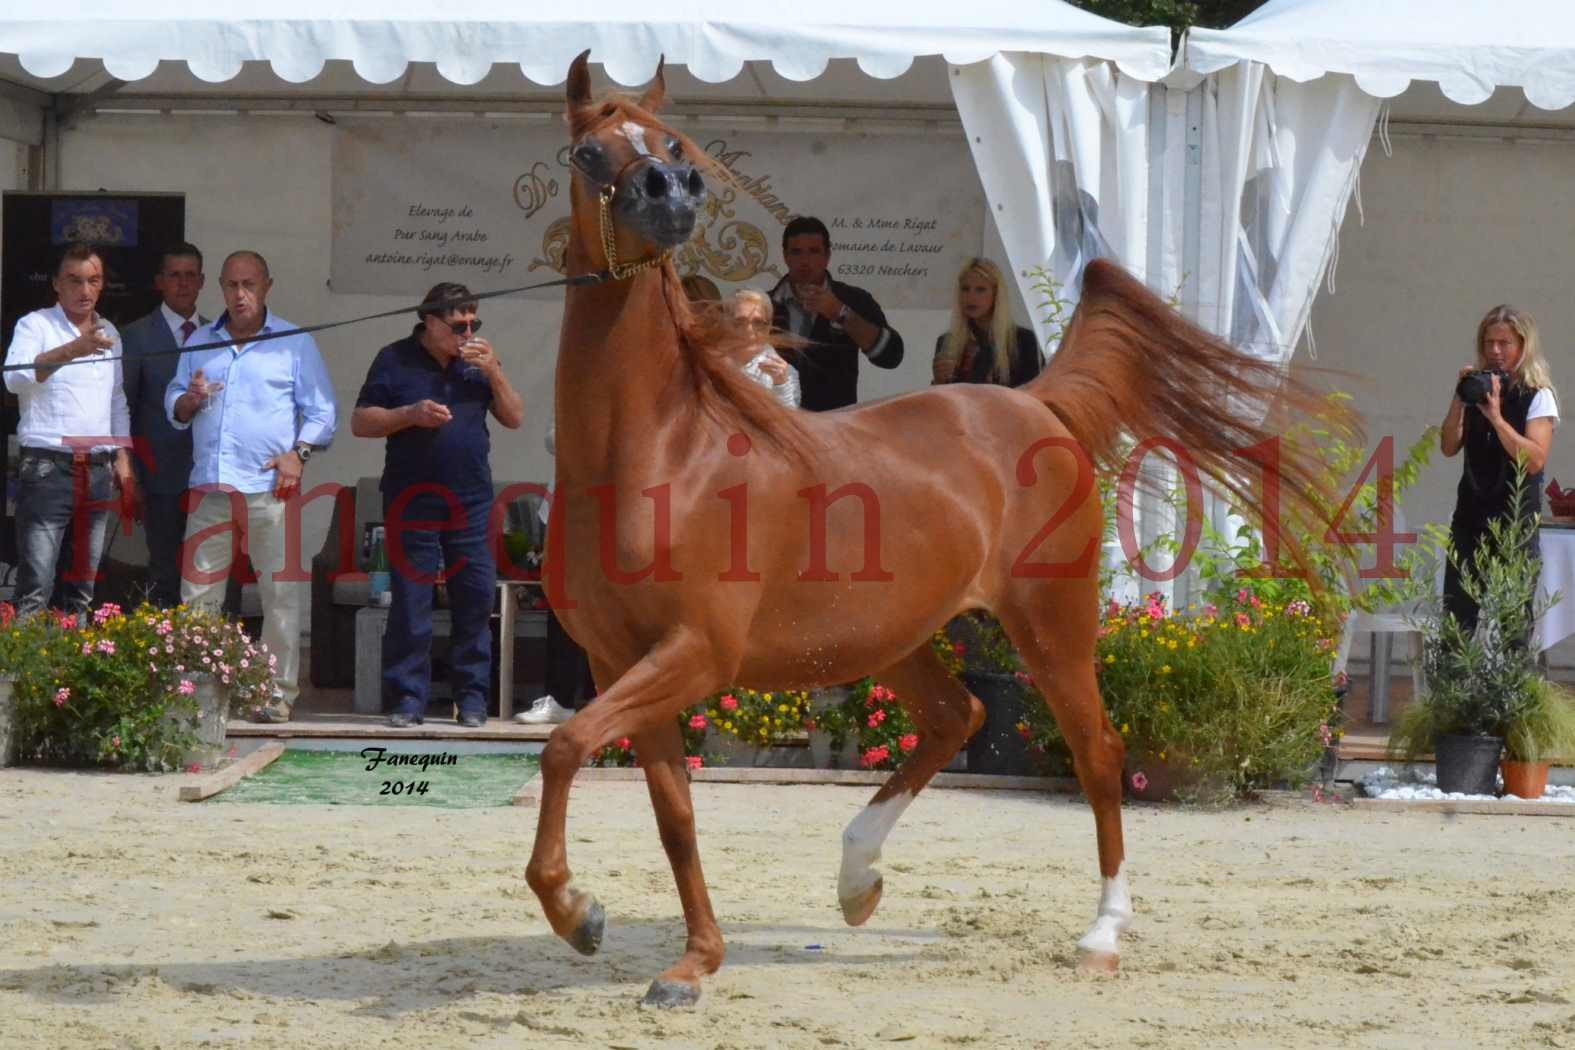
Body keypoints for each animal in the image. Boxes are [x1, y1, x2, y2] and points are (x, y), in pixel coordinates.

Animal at [526, 51, 1329, 1007]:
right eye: (586, 153)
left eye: (675, 145)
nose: (672, 194)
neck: (659, 456)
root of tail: (1034, 401)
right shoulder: (620, 661)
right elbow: (668, 809)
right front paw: (690, 961)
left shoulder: (695, 654)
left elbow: (562, 747)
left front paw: (577, 912)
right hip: (892, 637)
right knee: (957, 715)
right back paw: (856, 880)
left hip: (1049, 625)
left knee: (1095, 751)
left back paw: (1100, 934)